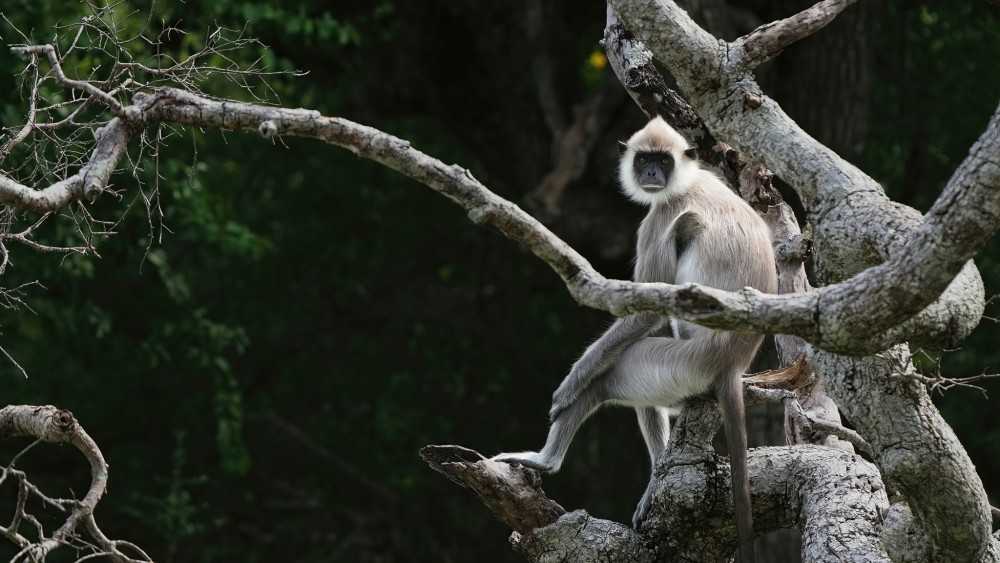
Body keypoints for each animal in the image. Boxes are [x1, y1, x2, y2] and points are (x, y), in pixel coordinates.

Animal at [492, 117, 772, 560]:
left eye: (663, 161)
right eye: (644, 160)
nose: (652, 173)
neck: (690, 181)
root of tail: (733, 362)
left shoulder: (661, 216)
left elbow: (646, 311)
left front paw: (567, 387)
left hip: (686, 362)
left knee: (608, 377)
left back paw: (546, 460)